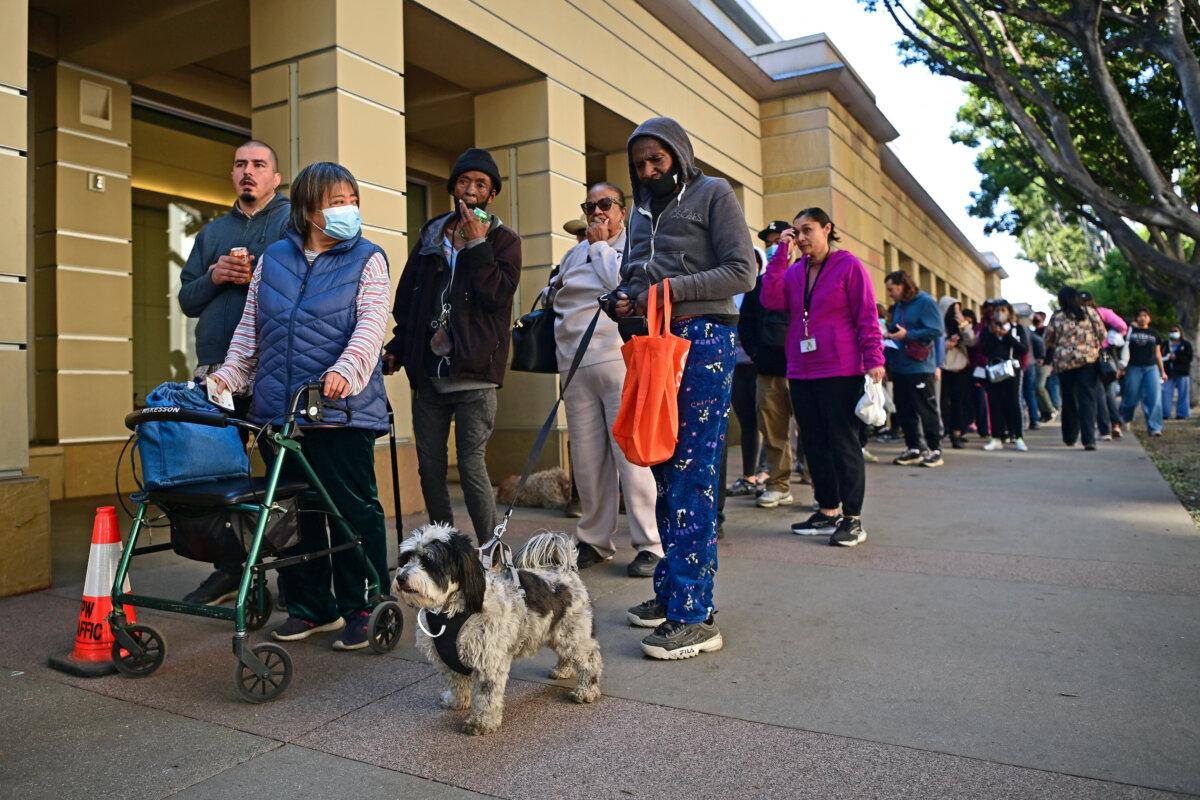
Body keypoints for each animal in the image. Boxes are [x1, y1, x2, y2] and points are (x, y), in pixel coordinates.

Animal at [391, 522, 604, 734]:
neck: (450, 612)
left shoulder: (488, 661)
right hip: (556, 632)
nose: (400, 577)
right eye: (406, 558)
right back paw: (563, 669)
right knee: (566, 653)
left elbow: (486, 696)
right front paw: (457, 701)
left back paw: (586, 690)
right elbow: (457, 682)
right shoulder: (448, 659)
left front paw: (481, 722)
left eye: (429, 561)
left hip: (574, 634)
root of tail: (566, 570)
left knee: (589, 660)